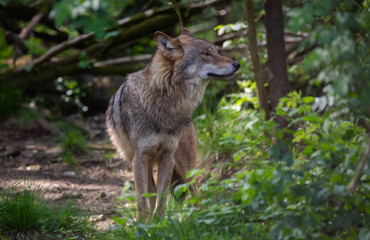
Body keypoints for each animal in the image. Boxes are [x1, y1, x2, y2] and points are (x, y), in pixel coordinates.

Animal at [107, 28, 240, 219]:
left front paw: (159, 221)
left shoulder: (167, 156)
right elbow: (142, 201)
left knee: (196, 192)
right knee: (151, 191)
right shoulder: (140, 157)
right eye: (206, 54)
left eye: (215, 52)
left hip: (185, 167)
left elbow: (161, 199)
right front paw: (143, 222)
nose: (237, 64)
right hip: (142, 161)